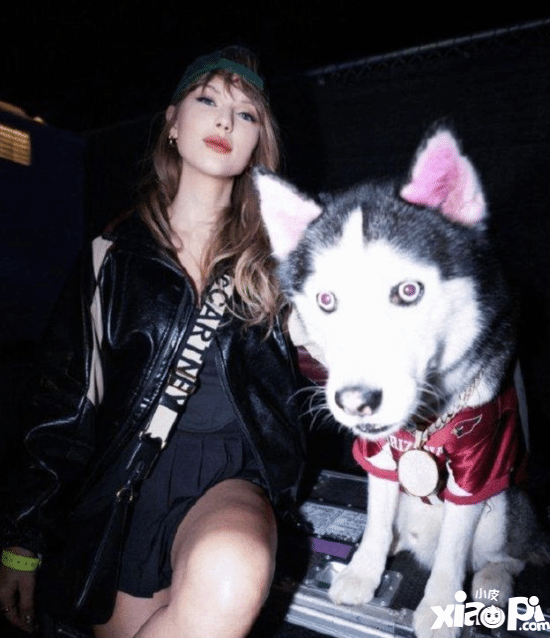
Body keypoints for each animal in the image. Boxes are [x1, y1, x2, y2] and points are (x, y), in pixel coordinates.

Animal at [255, 128, 537, 638]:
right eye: (326, 301)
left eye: (408, 291)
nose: (355, 402)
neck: (423, 425)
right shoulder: (379, 458)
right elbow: (377, 514)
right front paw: (363, 572)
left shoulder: (478, 463)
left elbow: (453, 545)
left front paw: (441, 606)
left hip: (505, 507)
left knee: (510, 553)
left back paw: (492, 579)